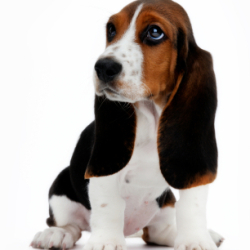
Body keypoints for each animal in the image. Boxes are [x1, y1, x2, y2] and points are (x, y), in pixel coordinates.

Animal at [30, 0, 224, 250]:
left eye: (155, 32)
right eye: (111, 30)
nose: (103, 67)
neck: (152, 118)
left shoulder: (191, 171)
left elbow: (193, 205)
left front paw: (196, 241)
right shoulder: (103, 169)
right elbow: (109, 205)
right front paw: (105, 242)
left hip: (164, 204)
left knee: (158, 232)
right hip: (60, 187)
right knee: (68, 224)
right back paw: (56, 234)